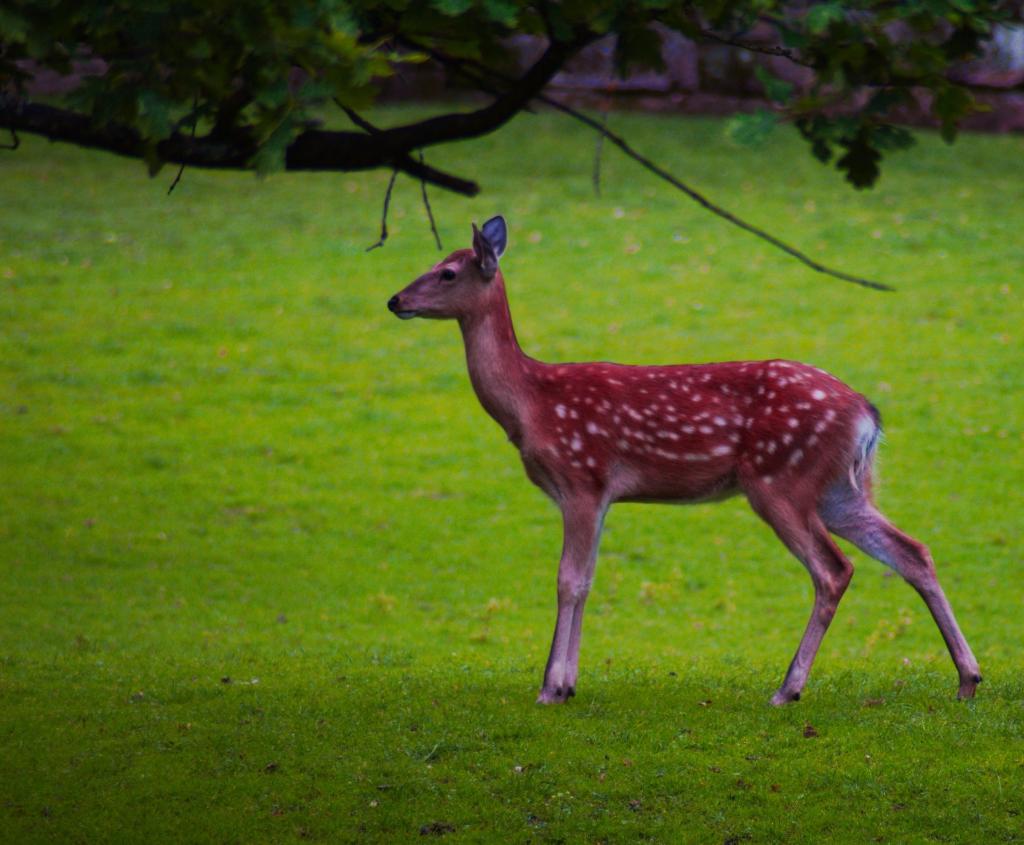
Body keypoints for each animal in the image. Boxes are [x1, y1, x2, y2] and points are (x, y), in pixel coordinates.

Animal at [387, 215, 981, 706]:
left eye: (447, 271)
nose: (394, 301)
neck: (530, 402)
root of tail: (867, 413)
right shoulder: (600, 494)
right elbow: (590, 579)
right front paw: (569, 681)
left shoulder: (582, 477)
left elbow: (568, 579)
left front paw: (551, 687)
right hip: (837, 488)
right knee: (911, 551)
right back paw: (967, 679)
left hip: (779, 478)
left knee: (834, 569)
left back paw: (787, 689)